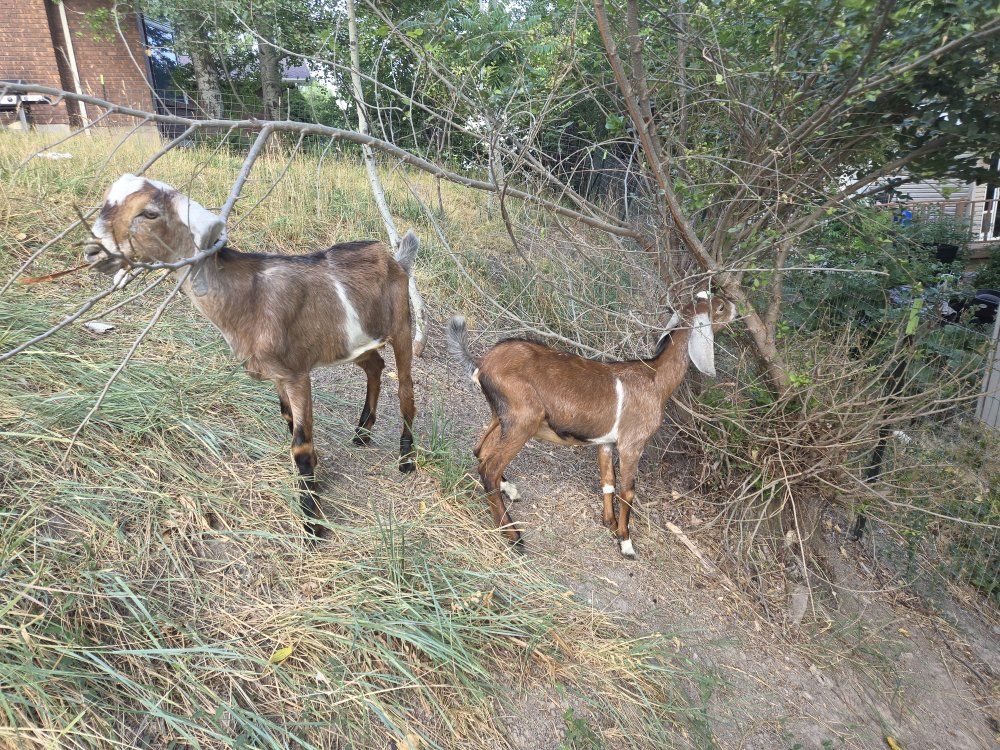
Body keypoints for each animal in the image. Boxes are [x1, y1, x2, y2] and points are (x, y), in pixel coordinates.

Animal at [83, 174, 425, 536]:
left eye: (149, 213)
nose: (93, 250)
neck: (249, 298)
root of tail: (396, 259)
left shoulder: (296, 373)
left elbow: (300, 445)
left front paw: (312, 523)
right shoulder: (277, 374)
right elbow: (288, 419)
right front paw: (314, 480)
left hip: (401, 326)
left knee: (405, 388)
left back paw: (406, 458)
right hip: (356, 340)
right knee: (375, 365)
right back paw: (362, 432)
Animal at [447, 292, 736, 557]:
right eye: (720, 307)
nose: (735, 306)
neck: (655, 380)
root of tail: (482, 363)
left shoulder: (605, 442)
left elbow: (608, 481)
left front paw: (609, 523)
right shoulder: (632, 443)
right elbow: (628, 491)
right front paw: (626, 543)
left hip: (501, 416)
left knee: (480, 450)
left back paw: (510, 490)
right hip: (523, 419)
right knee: (489, 468)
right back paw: (514, 536)